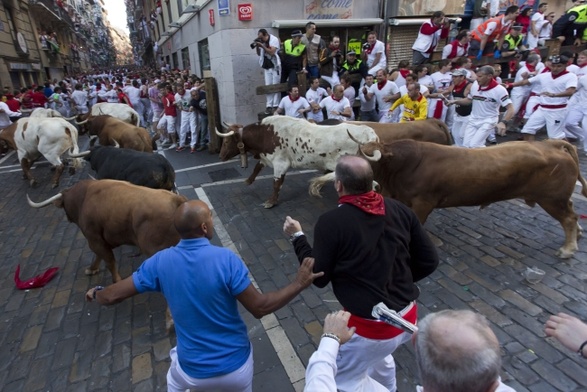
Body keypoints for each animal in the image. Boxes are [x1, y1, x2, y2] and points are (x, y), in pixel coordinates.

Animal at [27, 179, 186, 284]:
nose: (67, 217)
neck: (84, 198)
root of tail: (176, 200)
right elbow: (100, 256)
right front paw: (92, 269)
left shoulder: (94, 239)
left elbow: (108, 260)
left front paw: (116, 281)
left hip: (155, 249)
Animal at [314, 139, 587, 258]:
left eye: (363, 156)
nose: (338, 167)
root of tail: (551, 144)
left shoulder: (423, 203)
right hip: (557, 199)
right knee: (573, 213)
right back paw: (578, 236)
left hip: (552, 199)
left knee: (569, 218)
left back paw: (568, 248)